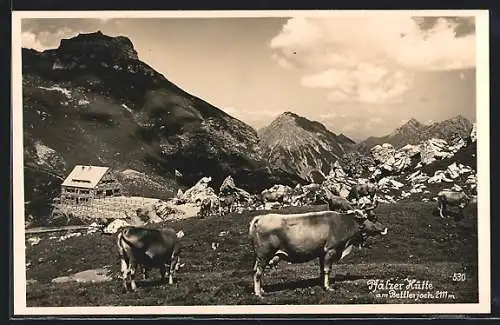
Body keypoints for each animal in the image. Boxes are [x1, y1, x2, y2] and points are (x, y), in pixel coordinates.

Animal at [249, 206, 386, 294]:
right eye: (374, 217)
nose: (385, 228)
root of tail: (260, 218)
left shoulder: (321, 253)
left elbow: (321, 270)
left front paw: (322, 284)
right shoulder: (330, 250)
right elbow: (327, 270)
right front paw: (328, 288)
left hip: (260, 256)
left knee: (256, 270)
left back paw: (262, 290)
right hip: (263, 255)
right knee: (258, 273)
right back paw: (258, 294)